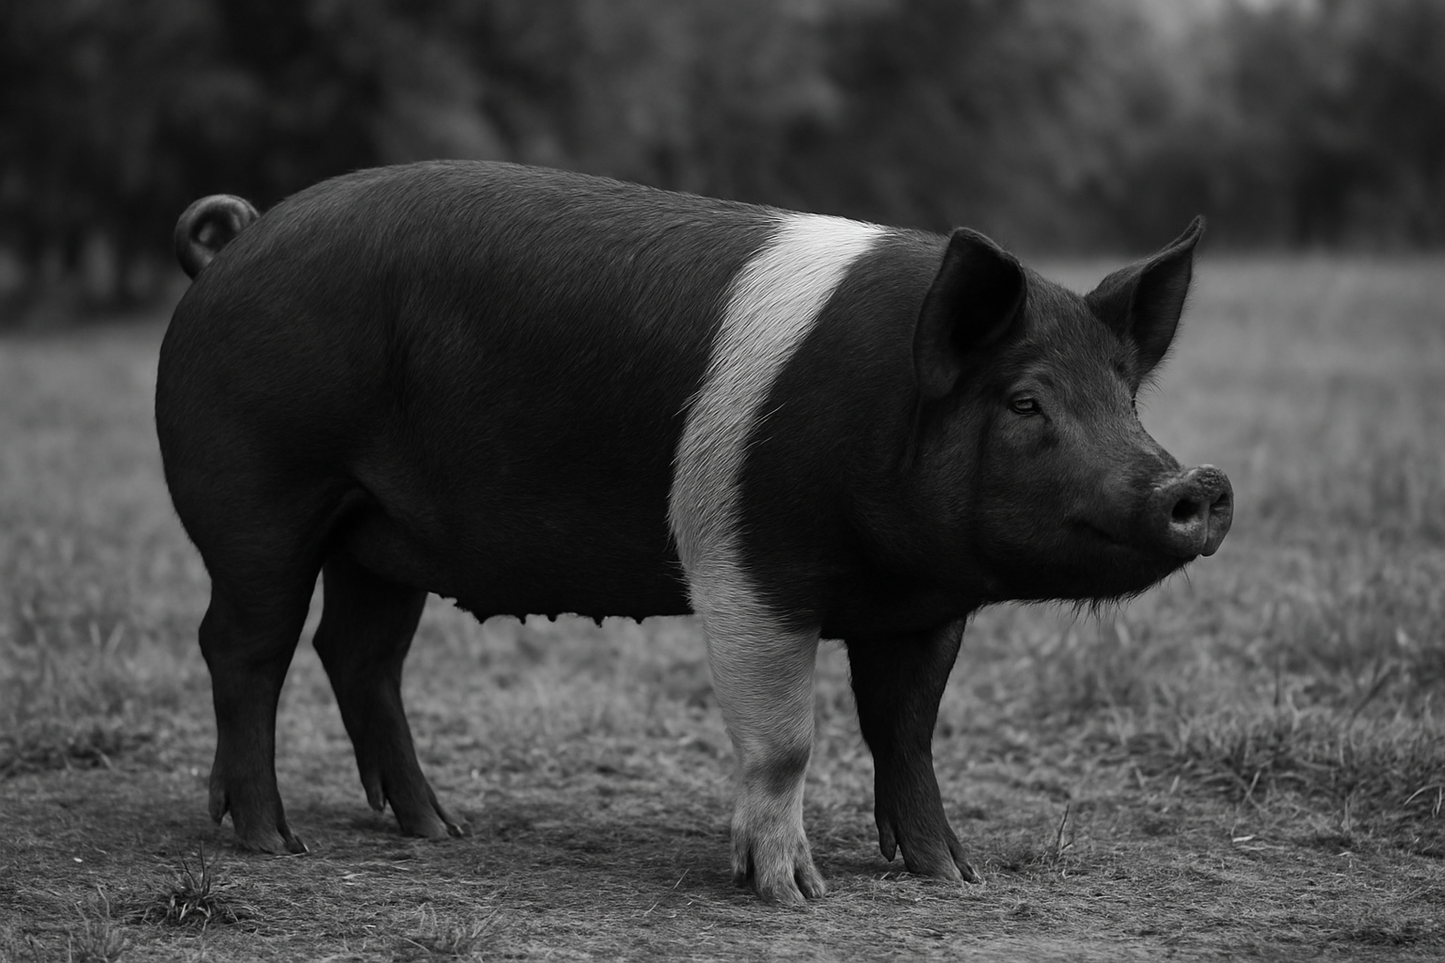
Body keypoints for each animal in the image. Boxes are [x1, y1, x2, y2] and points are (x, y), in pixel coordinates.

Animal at [157, 161, 1232, 906]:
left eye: (1125, 396)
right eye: (1023, 402)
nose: (1197, 482)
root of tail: (231, 246)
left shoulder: (922, 604)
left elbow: (907, 729)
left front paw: (951, 875)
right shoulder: (751, 568)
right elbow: (789, 738)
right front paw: (794, 895)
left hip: (380, 535)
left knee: (358, 652)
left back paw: (439, 829)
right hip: (259, 498)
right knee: (244, 646)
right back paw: (274, 842)